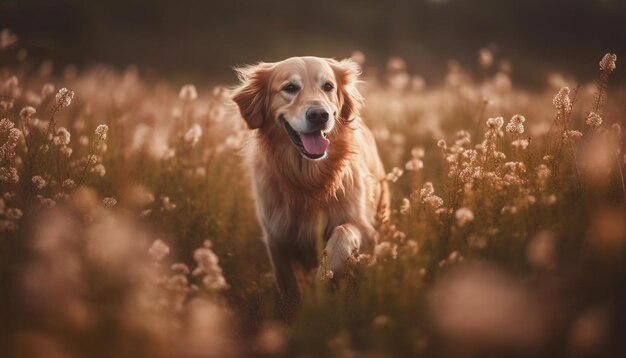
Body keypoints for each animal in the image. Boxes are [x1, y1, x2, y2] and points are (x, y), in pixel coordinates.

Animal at [230, 56, 386, 296]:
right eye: (290, 88)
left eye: (328, 86)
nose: (319, 115)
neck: (308, 177)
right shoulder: (277, 240)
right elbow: (290, 286)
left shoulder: (367, 229)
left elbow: (341, 233)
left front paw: (324, 274)